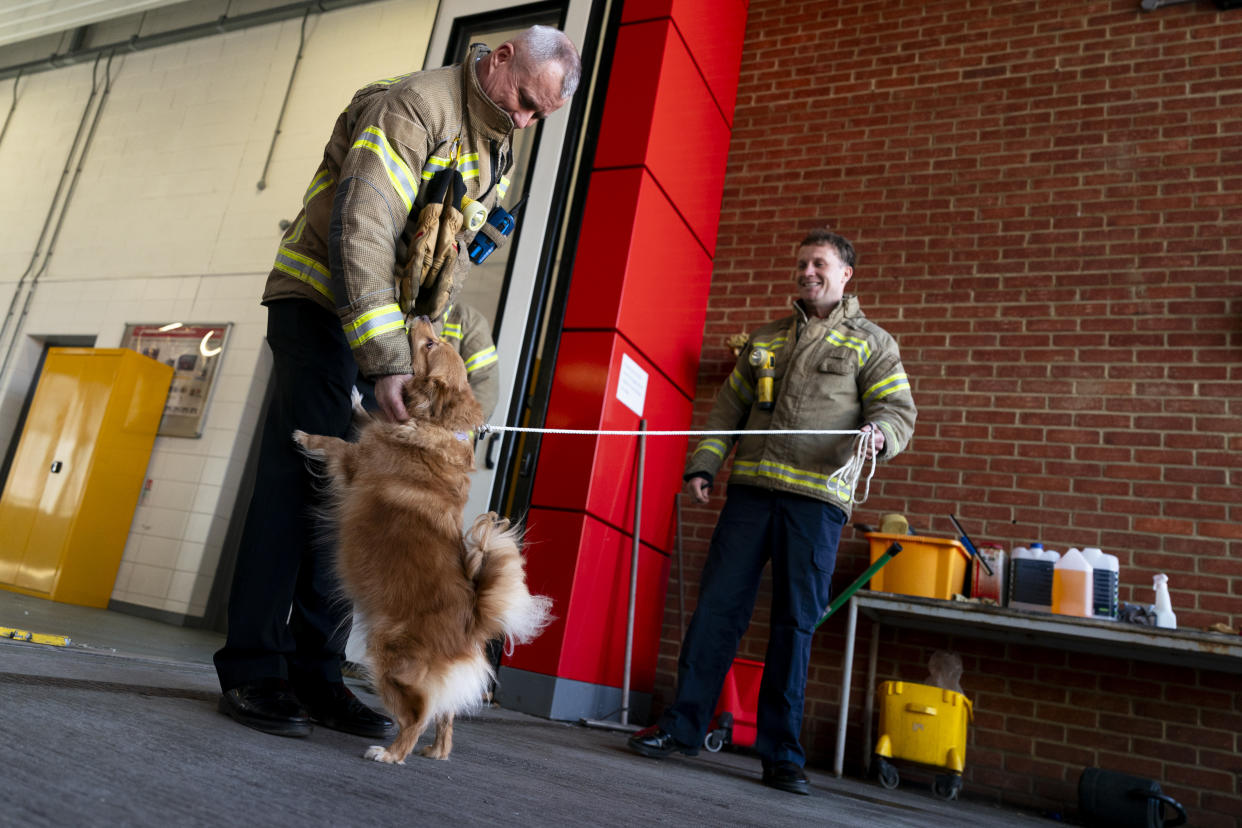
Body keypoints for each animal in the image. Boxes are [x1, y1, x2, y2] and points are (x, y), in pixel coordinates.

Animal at [293, 317, 551, 764]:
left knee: (418, 714)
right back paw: (435, 752)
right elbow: (368, 420)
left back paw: (391, 753)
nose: (423, 317)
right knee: (445, 718)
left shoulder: (354, 463)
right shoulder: (378, 433)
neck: (437, 426)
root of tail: (473, 624)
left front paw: (305, 437)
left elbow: (335, 443)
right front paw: (359, 399)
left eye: (429, 345)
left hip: (390, 659)